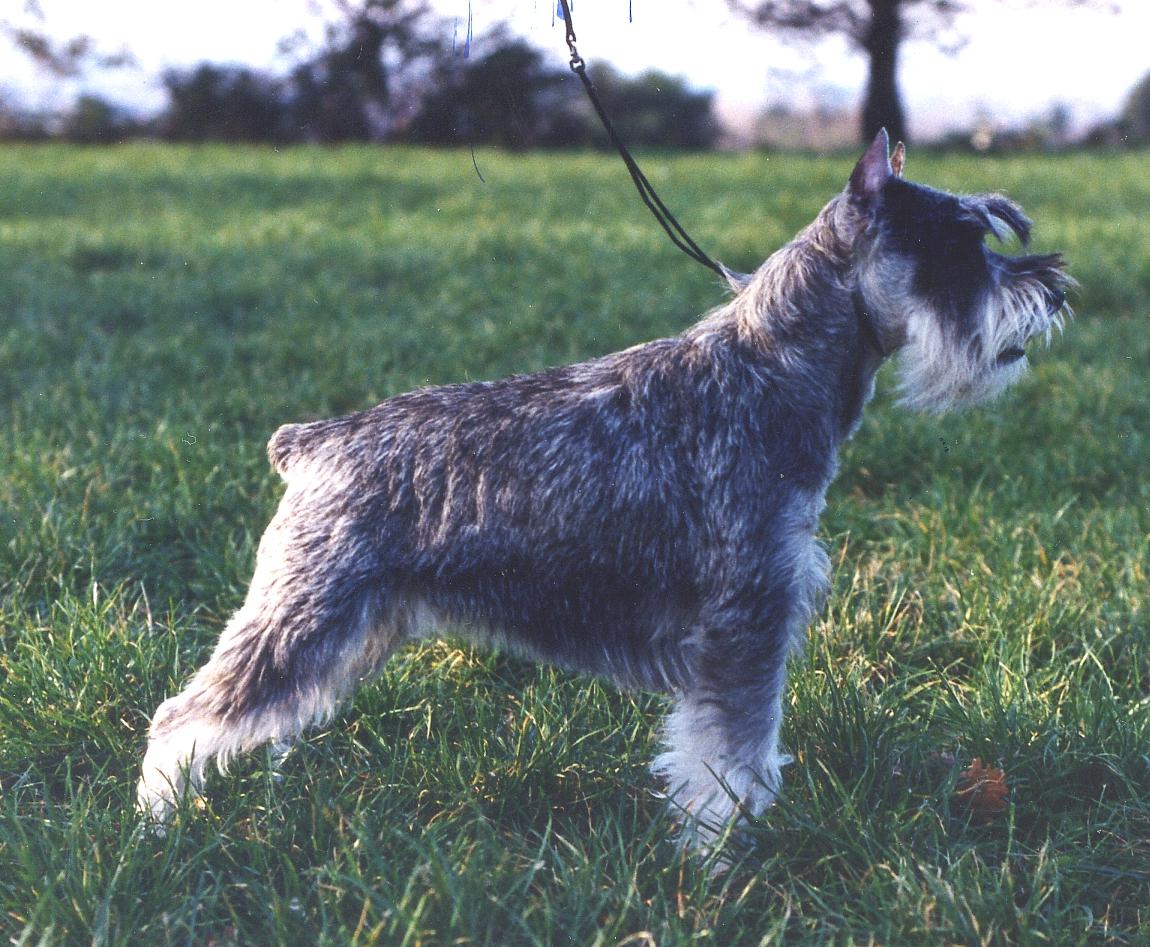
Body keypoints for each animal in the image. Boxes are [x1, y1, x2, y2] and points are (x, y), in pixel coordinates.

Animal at [138, 131, 1069, 846]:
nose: (1052, 287)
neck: (772, 365)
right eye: (957, 243)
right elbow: (731, 753)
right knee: (181, 718)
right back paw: (157, 824)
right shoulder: (746, 617)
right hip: (303, 617)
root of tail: (313, 442)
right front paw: (723, 854)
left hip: (353, 631)